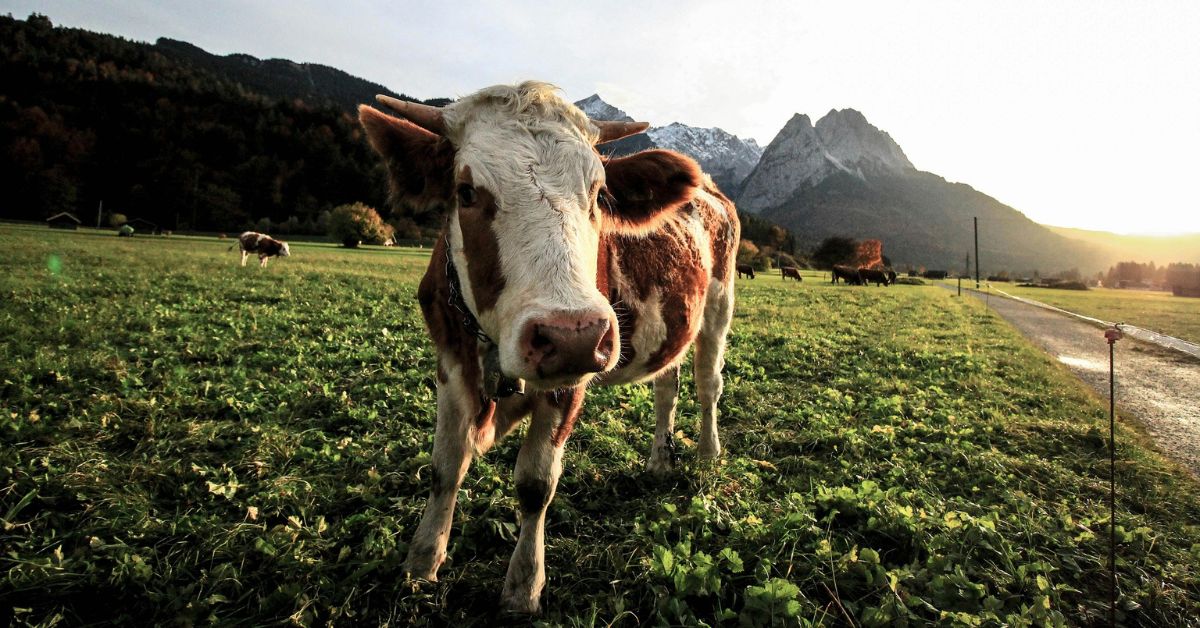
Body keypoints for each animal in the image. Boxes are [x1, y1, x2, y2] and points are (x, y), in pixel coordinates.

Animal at [355, 82, 734, 614]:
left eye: (599, 194)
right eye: (466, 192)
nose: (571, 334)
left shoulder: (571, 378)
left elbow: (535, 484)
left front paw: (523, 585)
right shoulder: (450, 360)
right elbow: (444, 466)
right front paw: (422, 560)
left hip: (719, 305)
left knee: (707, 386)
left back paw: (706, 453)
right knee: (667, 386)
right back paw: (660, 460)